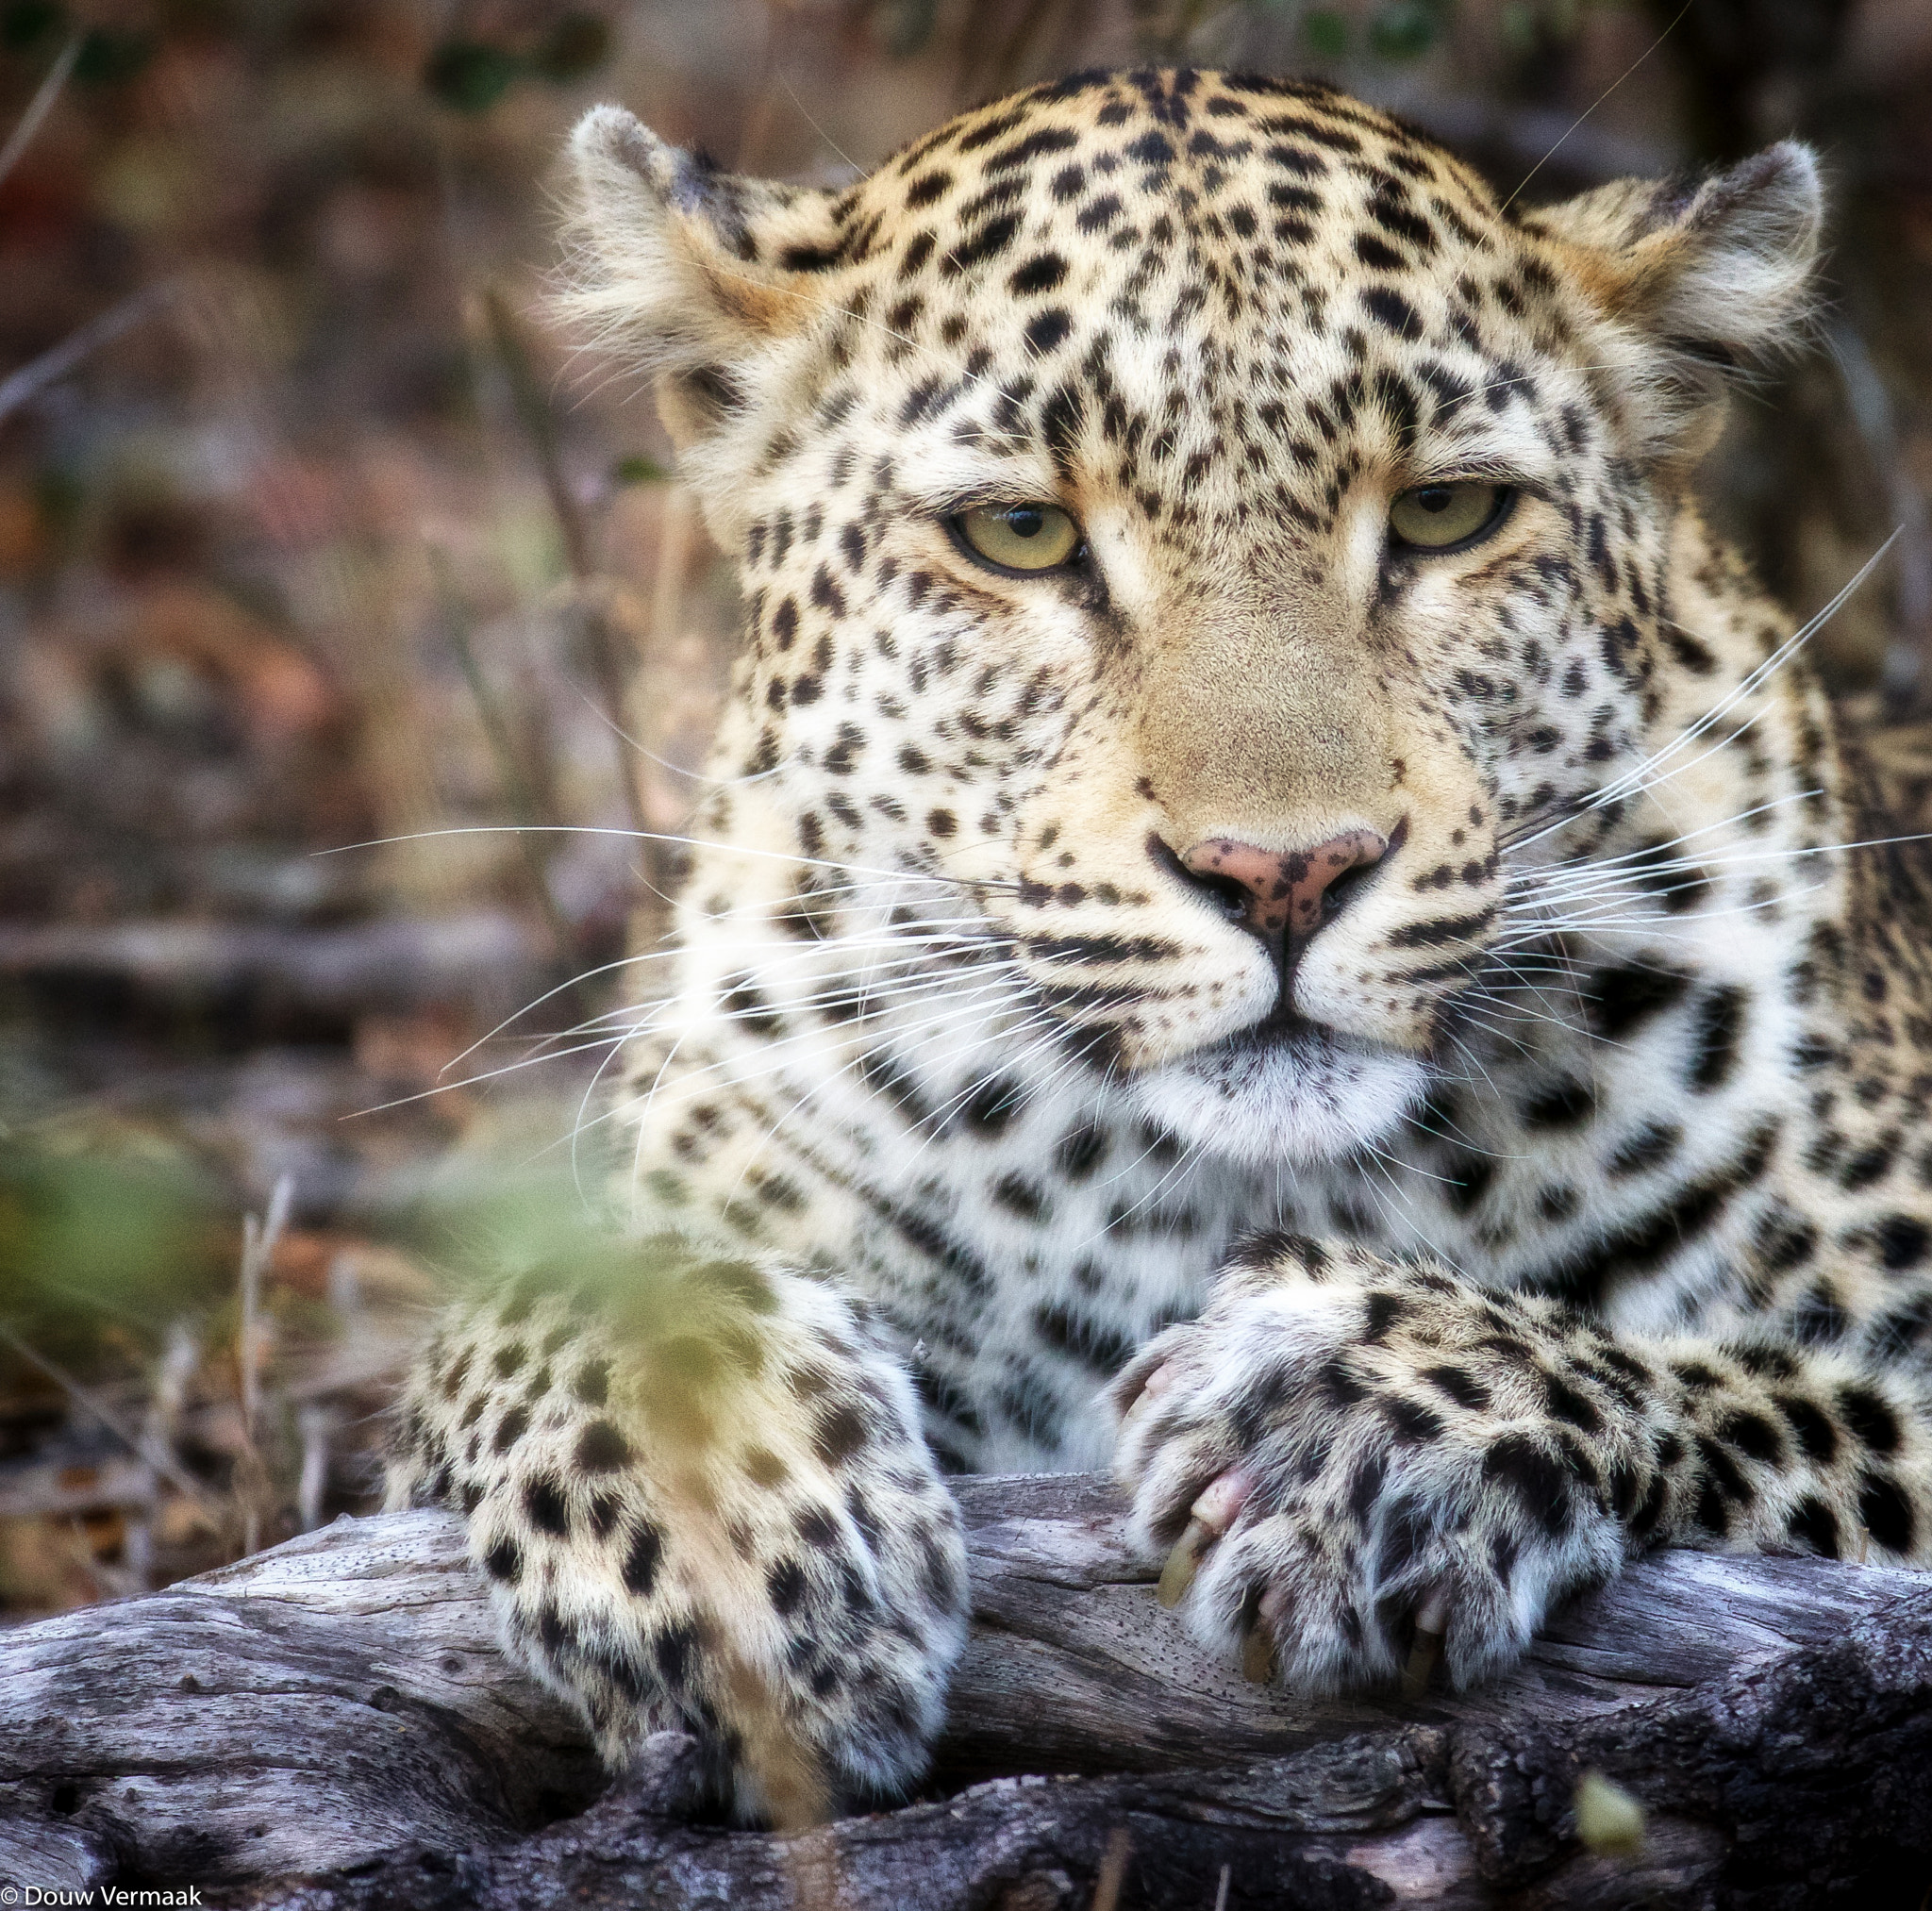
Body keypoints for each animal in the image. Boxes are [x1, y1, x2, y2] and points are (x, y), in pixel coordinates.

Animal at [386, 66, 1932, 1830]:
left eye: (1447, 511)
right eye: (1016, 535)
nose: (1284, 872)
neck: (1194, 1190)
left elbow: (1796, 1392)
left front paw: (1356, 1409)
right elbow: (564, 1293)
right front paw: (740, 1536)